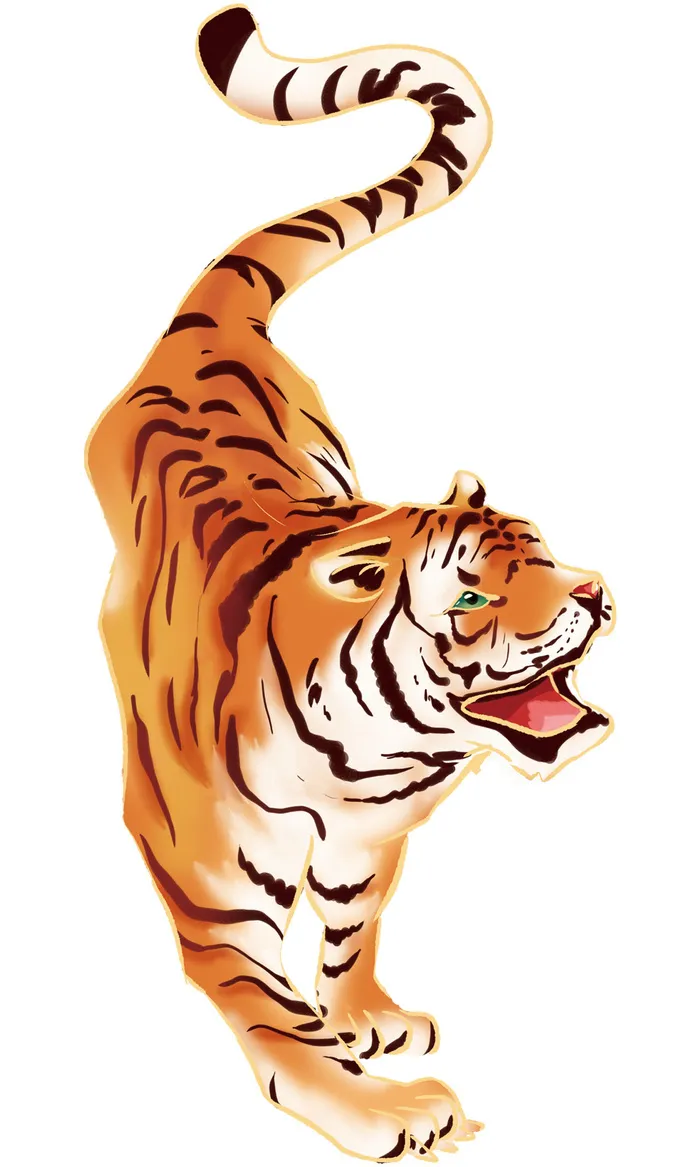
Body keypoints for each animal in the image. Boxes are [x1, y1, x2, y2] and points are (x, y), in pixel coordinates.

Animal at [86, 6, 615, 1162]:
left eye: (544, 550)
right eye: (472, 597)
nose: (599, 594)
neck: (375, 758)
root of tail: (207, 325)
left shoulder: (370, 845)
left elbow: (347, 932)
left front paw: (367, 1019)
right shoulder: (207, 875)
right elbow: (274, 1011)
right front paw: (390, 1112)